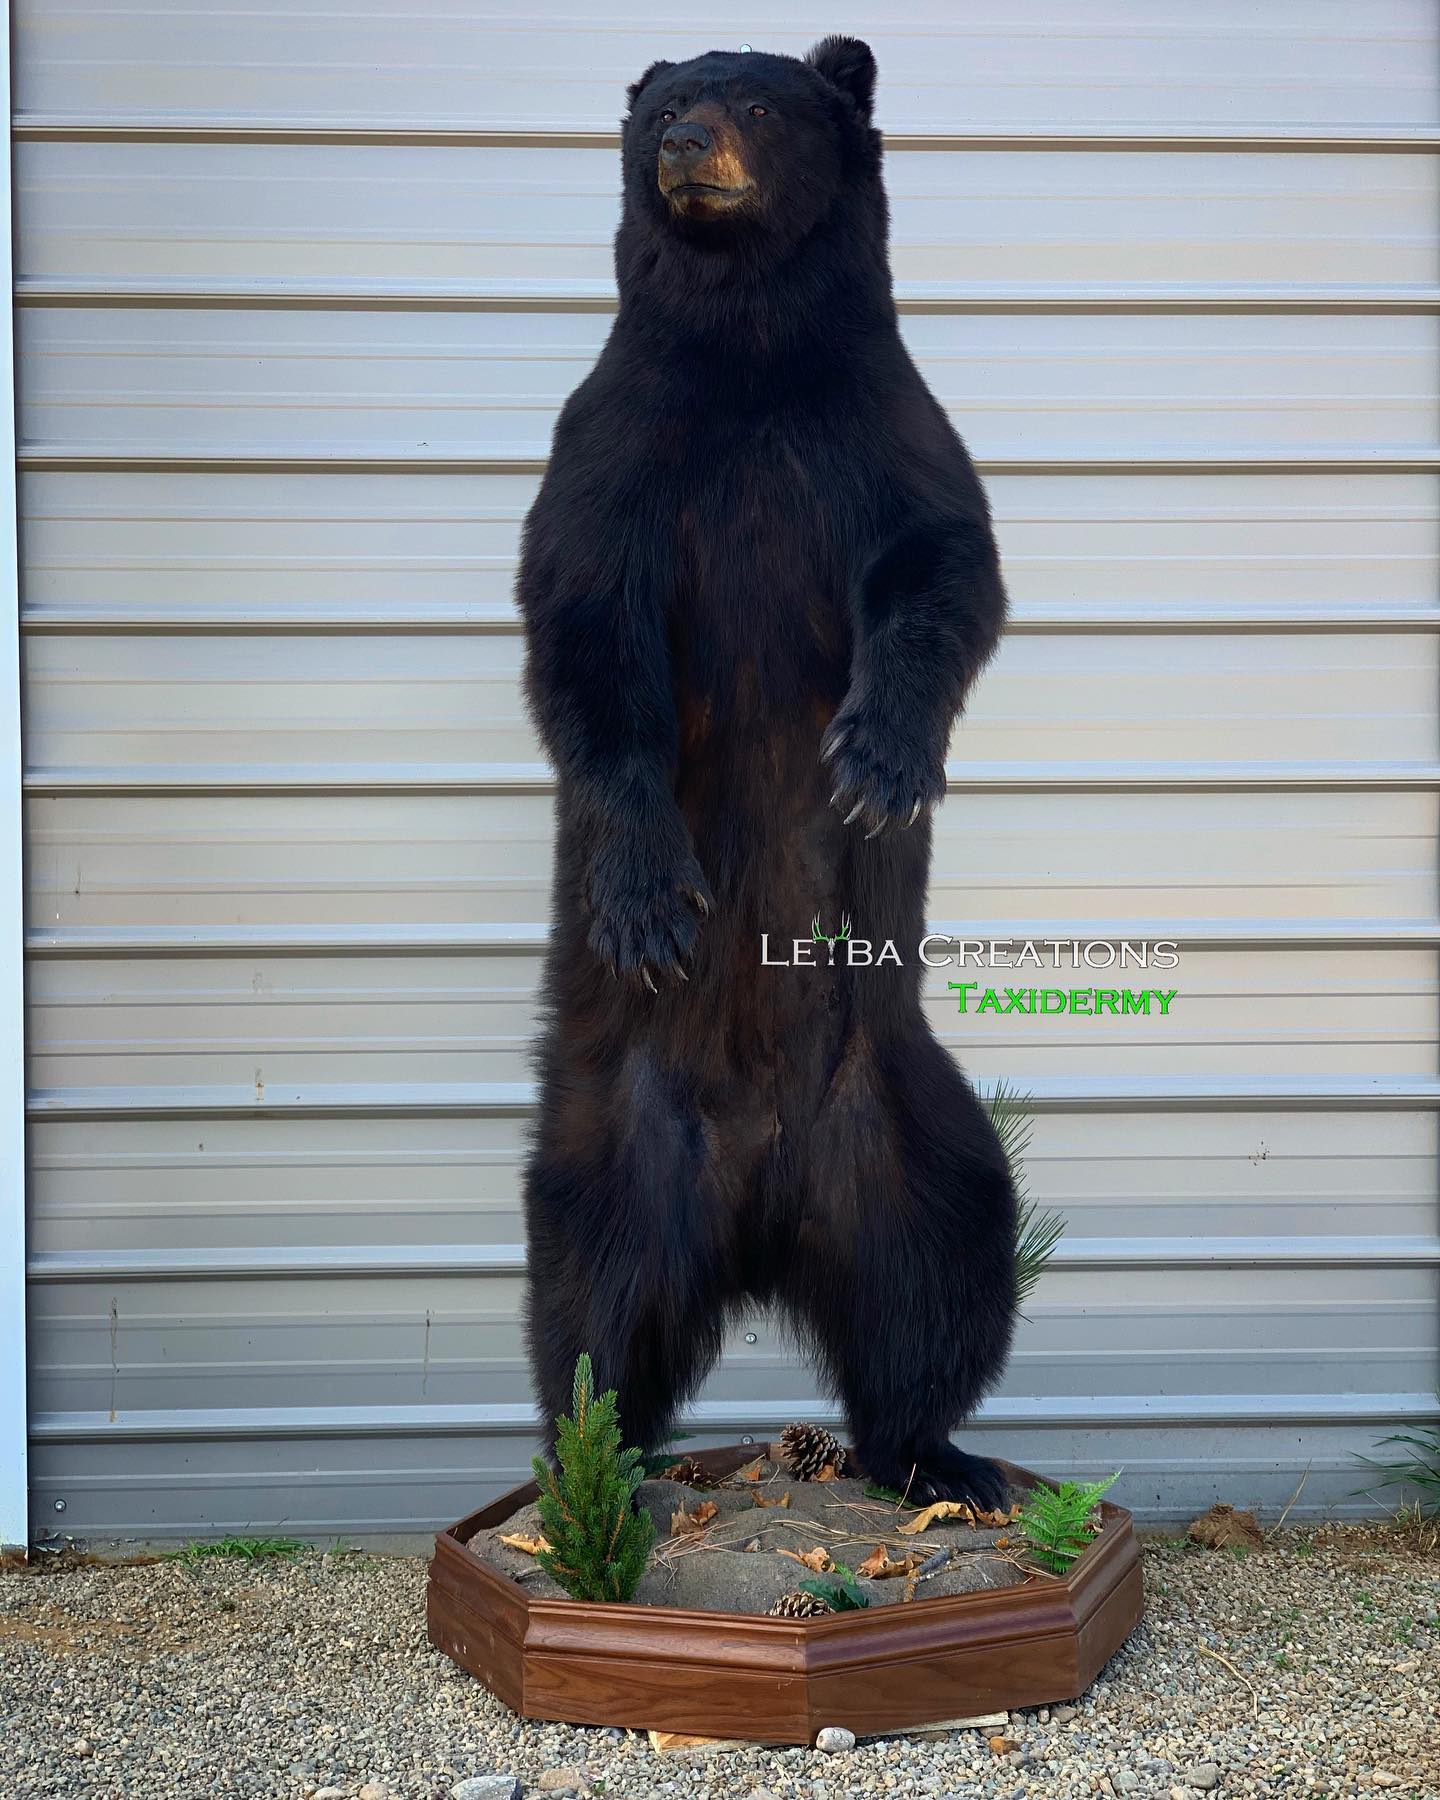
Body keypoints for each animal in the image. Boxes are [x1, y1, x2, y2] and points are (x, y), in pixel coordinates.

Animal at [517, 35, 1017, 1506]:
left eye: (752, 97)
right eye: (664, 101)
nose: (683, 138)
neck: (745, 356)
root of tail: (758, 1222)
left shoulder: (882, 429)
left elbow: (943, 567)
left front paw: (877, 763)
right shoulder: (616, 447)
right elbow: (585, 638)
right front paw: (645, 893)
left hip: (909, 1122)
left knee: (945, 1273)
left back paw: (942, 1458)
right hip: (613, 1137)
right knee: (589, 1310)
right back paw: (597, 1478)